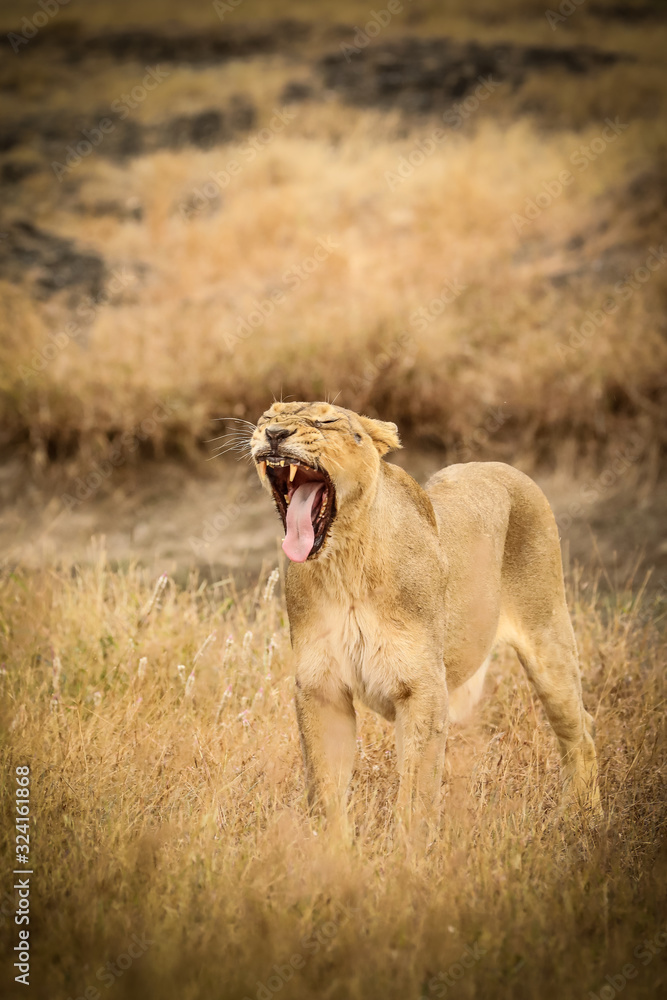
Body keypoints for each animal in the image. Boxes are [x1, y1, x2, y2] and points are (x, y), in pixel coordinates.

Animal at [250, 400, 601, 830]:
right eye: (268, 416)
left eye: (326, 420)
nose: (274, 434)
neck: (345, 568)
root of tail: (503, 466)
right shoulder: (321, 688)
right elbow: (325, 788)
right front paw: (331, 845)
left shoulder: (424, 687)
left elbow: (417, 794)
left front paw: (410, 847)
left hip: (548, 638)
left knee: (581, 728)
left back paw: (583, 815)